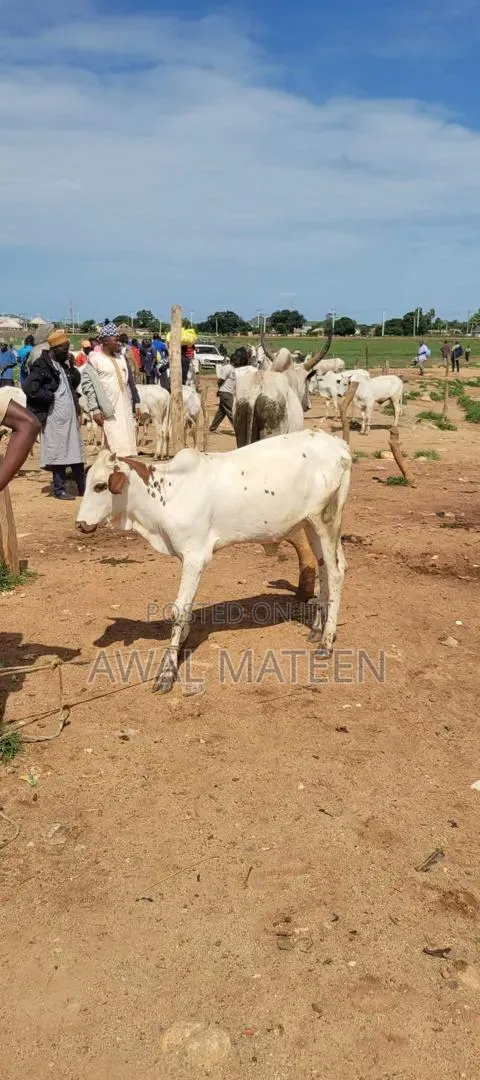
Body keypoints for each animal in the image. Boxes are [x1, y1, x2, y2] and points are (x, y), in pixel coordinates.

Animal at [77, 431, 352, 693]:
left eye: (100, 486)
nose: (80, 524)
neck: (168, 492)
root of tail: (338, 445)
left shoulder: (195, 557)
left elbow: (179, 609)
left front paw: (167, 671)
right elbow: (186, 608)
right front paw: (182, 641)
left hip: (325, 520)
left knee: (336, 572)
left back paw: (327, 641)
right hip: (310, 525)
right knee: (324, 568)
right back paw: (316, 629)